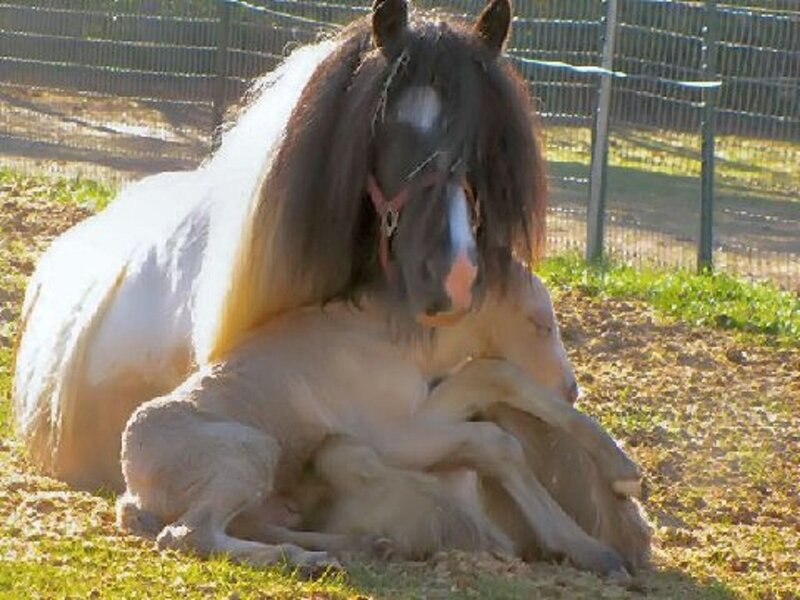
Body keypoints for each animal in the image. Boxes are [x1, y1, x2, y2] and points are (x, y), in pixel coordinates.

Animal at [116, 264, 648, 578]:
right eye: (539, 323)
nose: (571, 388)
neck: (389, 340)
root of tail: (133, 492)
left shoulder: (419, 409)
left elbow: (494, 375)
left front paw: (622, 473)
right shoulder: (390, 436)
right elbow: (494, 436)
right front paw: (593, 549)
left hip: (266, 493)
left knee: (253, 525)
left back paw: (364, 545)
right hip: (250, 451)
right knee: (188, 534)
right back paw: (309, 561)